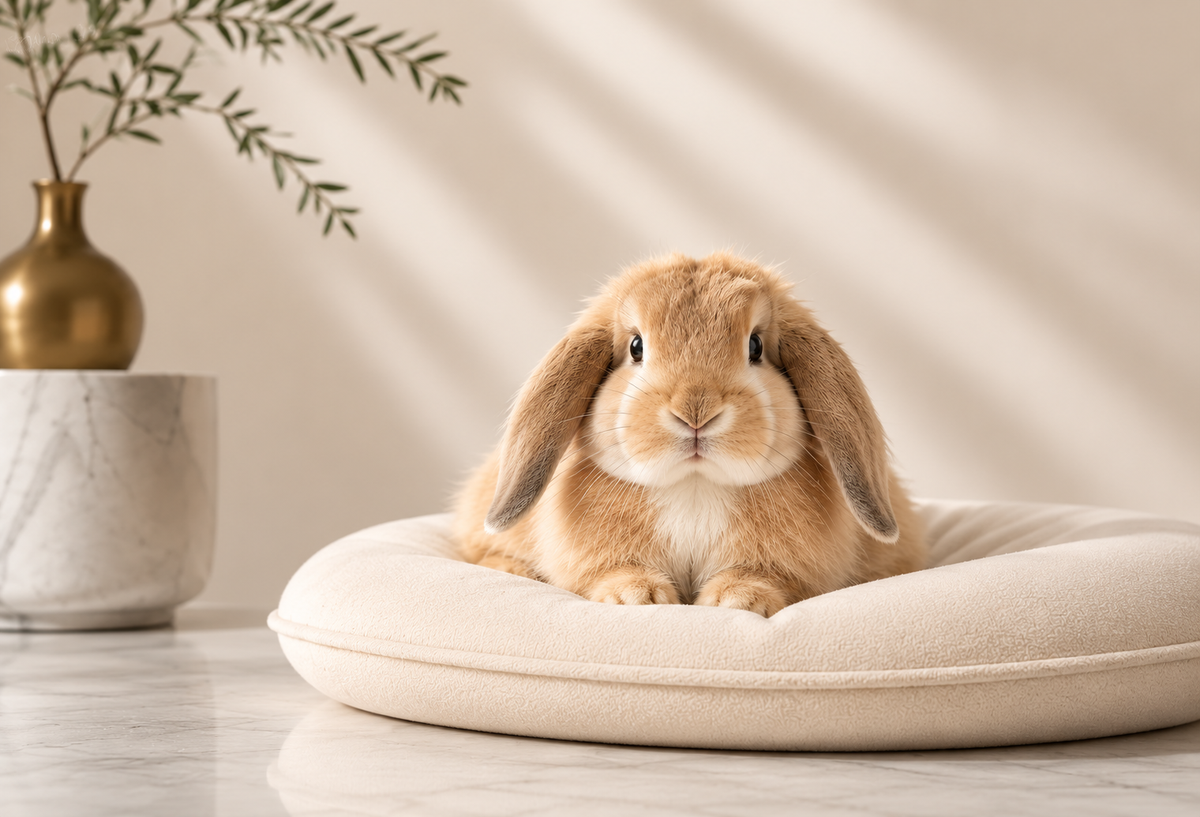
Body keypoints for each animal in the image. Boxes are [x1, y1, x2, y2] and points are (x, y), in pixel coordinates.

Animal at [454, 252, 926, 616]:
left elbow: (766, 578)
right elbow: (610, 572)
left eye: (755, 346)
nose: (695, 410)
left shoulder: (789, 568)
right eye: (636, 347)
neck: (694, 486)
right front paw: (636, 596)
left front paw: (736, 600)